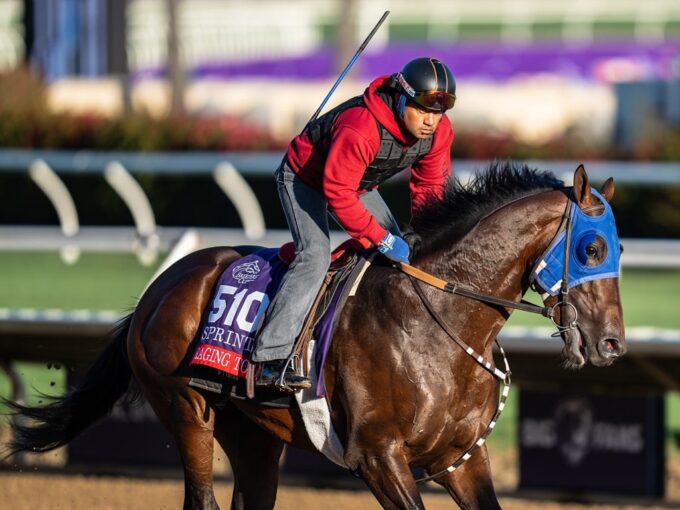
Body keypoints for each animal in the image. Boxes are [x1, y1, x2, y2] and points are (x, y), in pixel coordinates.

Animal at [3, 161, 628, 508]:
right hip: (184, 409)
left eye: (618, 248)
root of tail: (160, 287)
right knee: (201, 498)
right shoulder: (378, 457)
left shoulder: (461, 457)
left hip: (252, 432)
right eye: (591, 248)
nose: (612, 344)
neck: (439, 321)